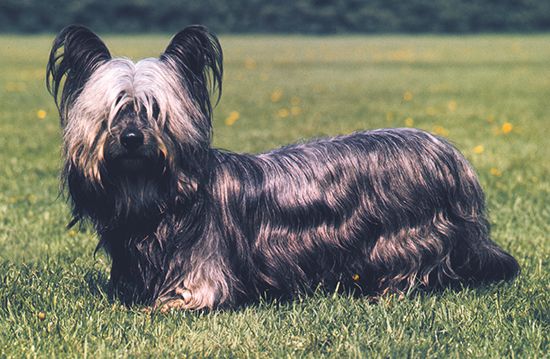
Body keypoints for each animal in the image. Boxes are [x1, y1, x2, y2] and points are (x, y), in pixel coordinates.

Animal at [45, 26, 520, 312]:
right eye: (115, 109)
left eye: (153, 110)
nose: (130, 138)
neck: (156, 198)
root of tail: (452, 158)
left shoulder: (202, 280)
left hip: (408, 236)